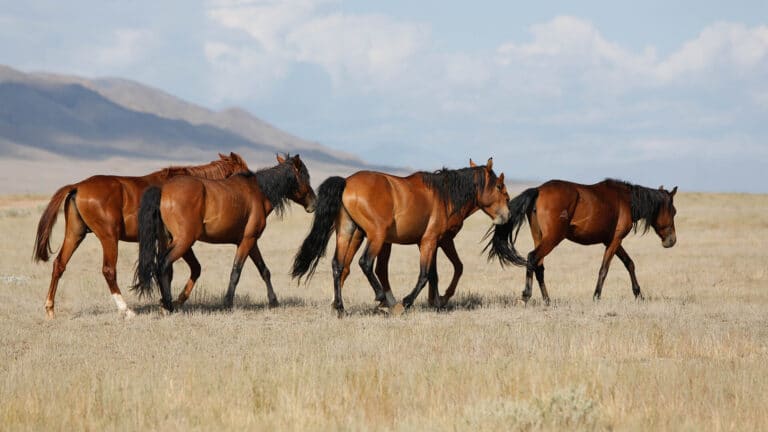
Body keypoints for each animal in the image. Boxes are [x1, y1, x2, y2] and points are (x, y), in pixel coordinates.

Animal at [33, 152, 249, 318]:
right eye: (242, 172)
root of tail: (78, 186)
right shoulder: (174, 239)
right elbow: (173, 269)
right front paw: (167, 304)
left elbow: (192, 269)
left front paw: (172, 302)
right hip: (109, 237)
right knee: (108, 270)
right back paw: (126, 310)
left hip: (75, 234)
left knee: (59, 265)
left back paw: (50, 309)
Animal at [132, 154, 316, 312]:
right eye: (305, 176)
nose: (314, 203)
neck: (259, 192)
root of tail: (163, 190)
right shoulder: (247, 241)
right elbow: (236, 272)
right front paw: (227, 302)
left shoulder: (251, 242)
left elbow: (264, 270)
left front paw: (273, 301)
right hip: (184, 241)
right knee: (163, 264)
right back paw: (168, 305)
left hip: (169, 241)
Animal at [292, 157, 512, 316]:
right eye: (499, 186)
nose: (507, 215)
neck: (445, 196)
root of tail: (346, 183)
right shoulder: (434, 240)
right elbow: (430, 273)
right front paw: (413, 301)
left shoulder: (431, 242)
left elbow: (435, 273)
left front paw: (436, 302)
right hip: (377, 236)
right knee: (365, 263)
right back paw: (384, 299)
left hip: (350, 234)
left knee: (339, 266)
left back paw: (340, 307)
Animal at [488, 179, 680, 304]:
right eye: (674, 211)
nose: (671, 241)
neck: (626, 200)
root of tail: (539, 190)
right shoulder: (615, 241)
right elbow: (604, 269)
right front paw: (596, 296)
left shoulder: (611, 241)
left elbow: (629, 264)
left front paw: (638, 294)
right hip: (552, 238)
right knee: (532, 257)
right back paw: (527, 294)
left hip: (539, 237)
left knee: (539, 267)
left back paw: (547, 299)